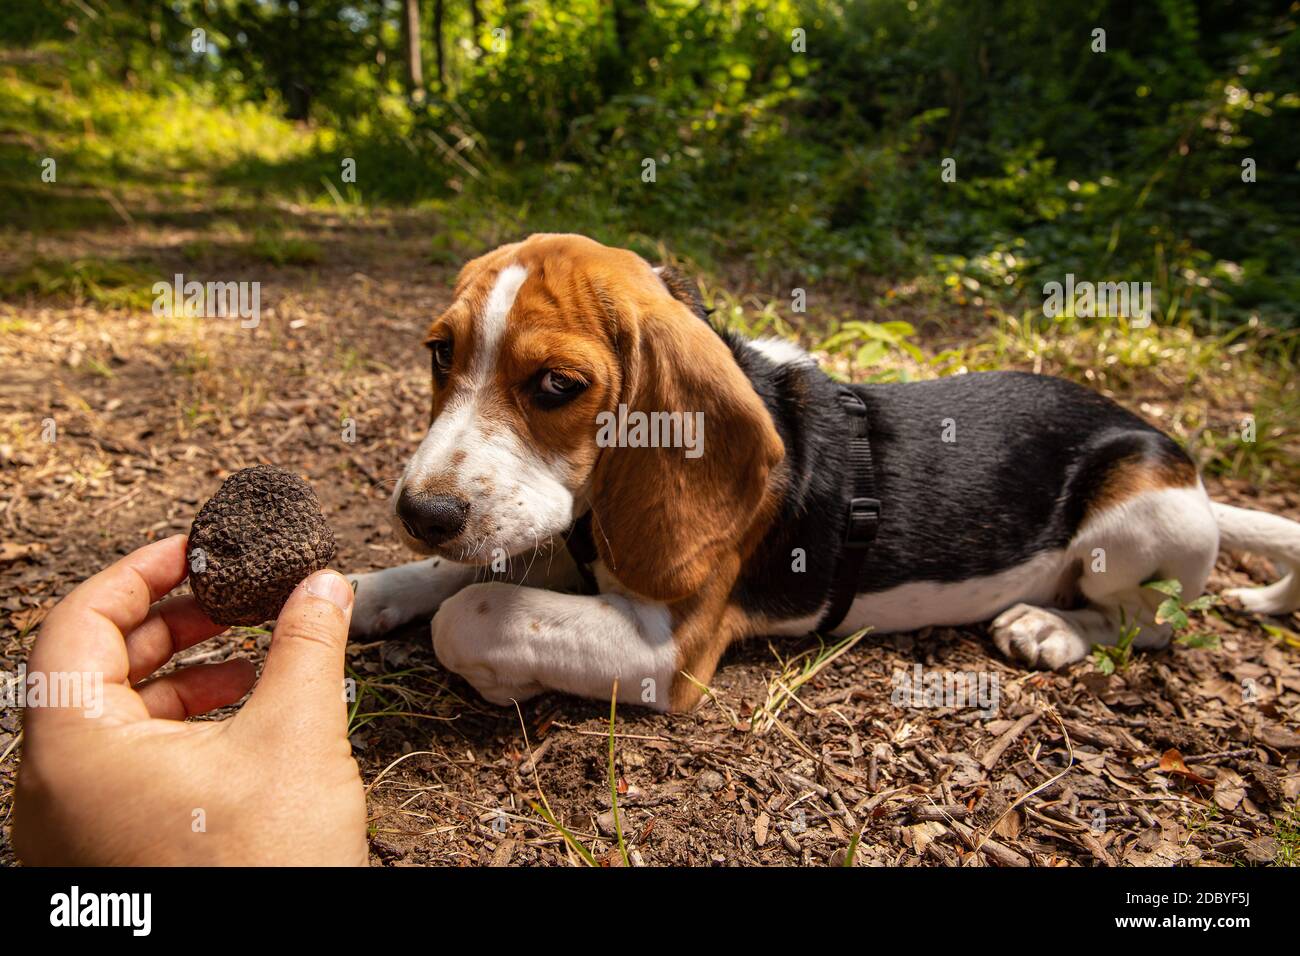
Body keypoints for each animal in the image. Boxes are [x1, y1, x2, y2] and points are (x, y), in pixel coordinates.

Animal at [348, 234, 1300, 712]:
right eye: (440, 355)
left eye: (557, 385)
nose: (421, 511)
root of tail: (1179, 461)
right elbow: (454, 575)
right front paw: (365, 589)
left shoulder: (668, 647)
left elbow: (475, 609)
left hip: (1135, 519)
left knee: (1151, 623)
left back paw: (1051, 628)